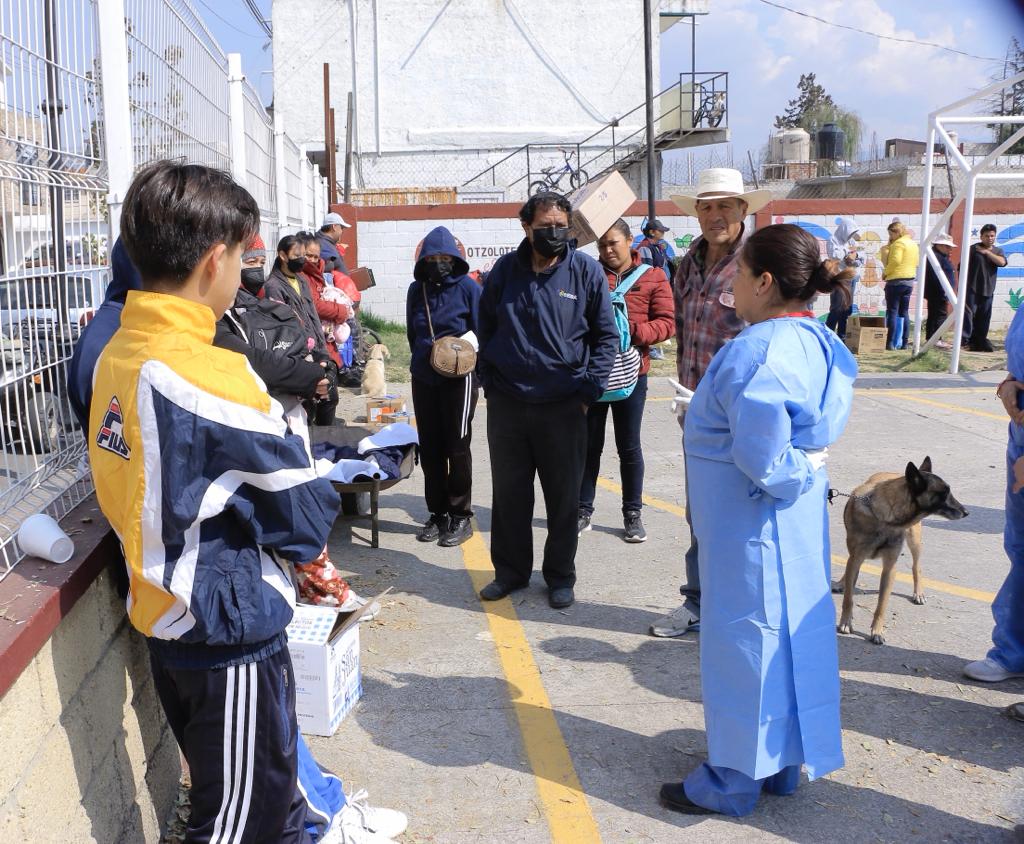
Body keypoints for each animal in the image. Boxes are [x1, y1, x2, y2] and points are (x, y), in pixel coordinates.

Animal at [831, 458, 966, 643]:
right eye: (944, 493)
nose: (966, 512)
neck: (885, 519)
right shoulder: (856, 558)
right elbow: (848, 599)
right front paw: (846, 622)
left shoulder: (889, 568)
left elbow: (882, 605)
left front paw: (877, 631)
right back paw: (841, 583)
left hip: (915, 541)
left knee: (916, 566)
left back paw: (918, 593)